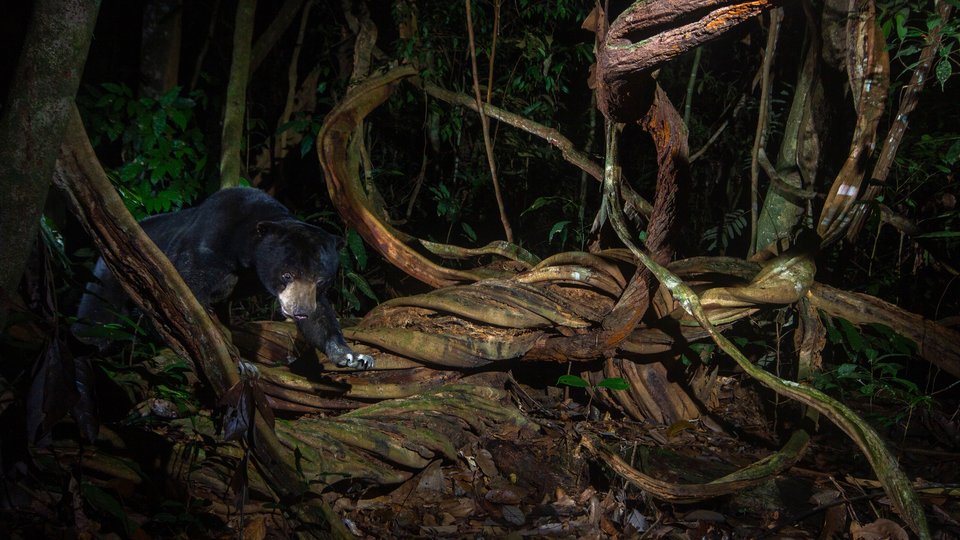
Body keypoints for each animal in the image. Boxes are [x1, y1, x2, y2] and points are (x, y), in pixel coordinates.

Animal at [74, 187, 374, 370]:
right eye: (287, 274)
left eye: (321, 280)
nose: (300, 311)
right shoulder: (202, 251)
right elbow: (188, 305)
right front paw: (239, 363)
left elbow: (321, 318)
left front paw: (352, 356)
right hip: (108, 270)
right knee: (97, 309)